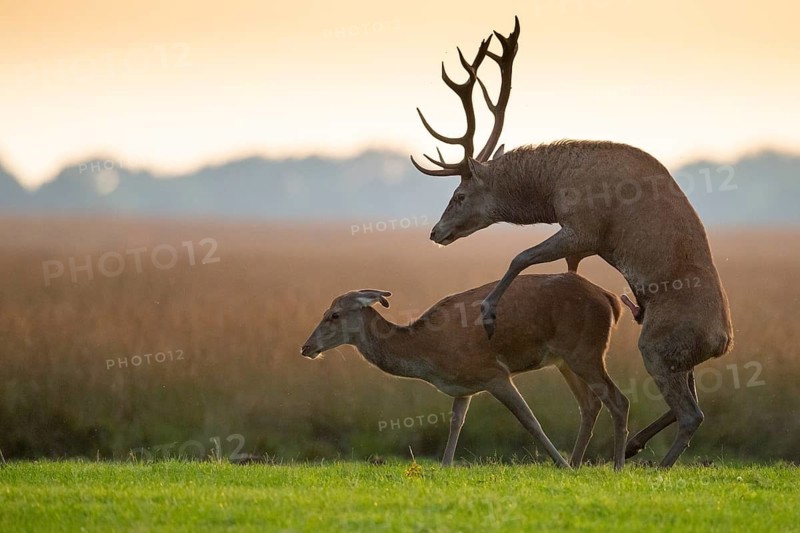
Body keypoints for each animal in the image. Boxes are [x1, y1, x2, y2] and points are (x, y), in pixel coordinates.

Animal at [300, 273, 630, 470]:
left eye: (334, 314)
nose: (306, 347)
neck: (430, 354)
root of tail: (611, 300)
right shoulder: (463, 385)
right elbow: (456, 423)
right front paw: (444, 467)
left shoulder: (493, 372)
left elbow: (529, 420)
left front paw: (558, 464)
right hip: (565, 360)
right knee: (590, 404)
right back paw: (578, 462)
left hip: (586, 351)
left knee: (619, 400)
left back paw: (613, 466)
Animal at [411, 16, 733, 467]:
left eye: (459, 195)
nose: (435, 233)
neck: (553, 185)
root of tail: (722, 342)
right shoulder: (583, 246)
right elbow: (559, 270)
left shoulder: (583, 226)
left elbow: (521, 255)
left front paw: (489, 314)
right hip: (680, 359)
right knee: (688, 405)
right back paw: (633, 447)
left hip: (658, 346)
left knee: (691, 413)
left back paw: (652, 465)